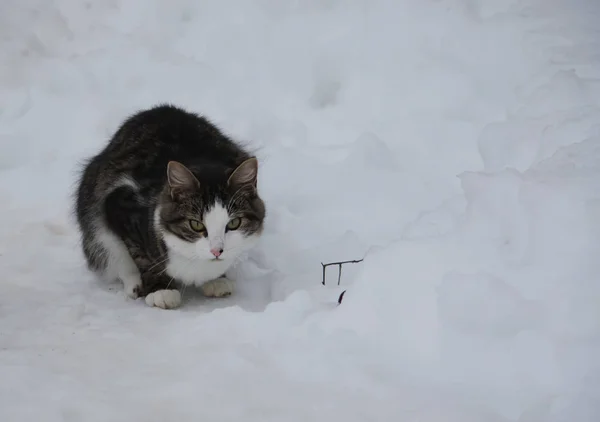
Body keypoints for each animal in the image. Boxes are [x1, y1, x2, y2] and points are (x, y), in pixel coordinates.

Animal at [74, 104, 264, 310]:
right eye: (196, 224)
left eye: (234, 223)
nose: (216, 251)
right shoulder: (119, 203)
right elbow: (141, 256)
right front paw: (160, 290)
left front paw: (217, 280)